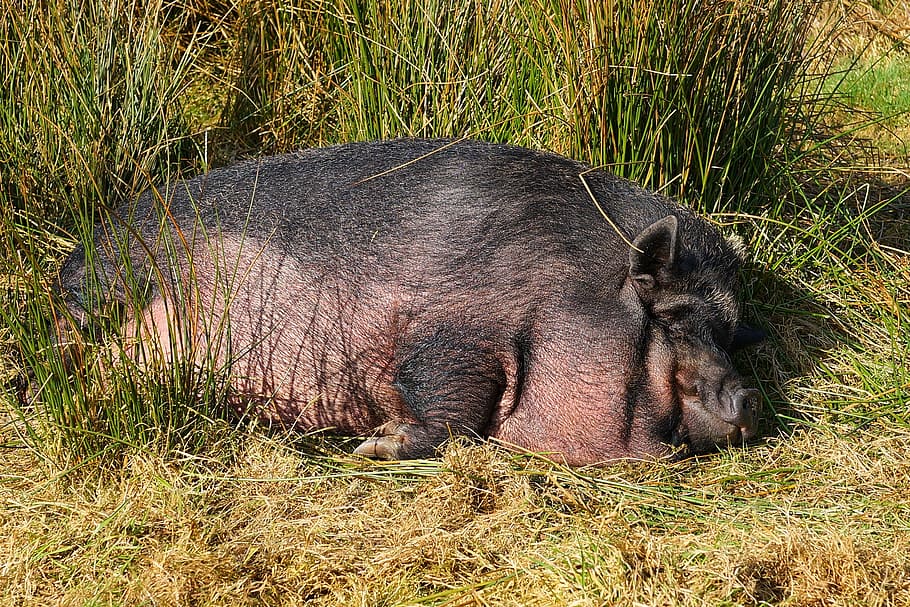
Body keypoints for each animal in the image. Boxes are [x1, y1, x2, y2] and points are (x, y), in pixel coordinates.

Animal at [57, 140, 764, 468]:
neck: (561, 292)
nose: (751, 399)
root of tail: (77, 253)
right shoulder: (450, 331)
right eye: (670, 314)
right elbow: (450, 403)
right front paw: (374, 446)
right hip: (109, 292)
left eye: (730, 332)